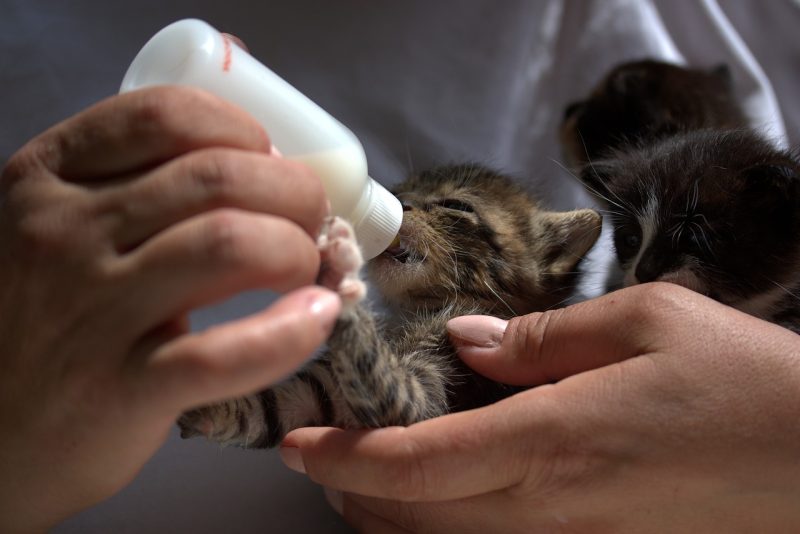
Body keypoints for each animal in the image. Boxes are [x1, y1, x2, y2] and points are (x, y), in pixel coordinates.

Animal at [177, 163, 600, 448]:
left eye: (455, 205)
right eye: (401, 191)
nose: (400, 203)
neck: (418, 310)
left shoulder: (424, 400)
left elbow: (389, 387)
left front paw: (340, 272)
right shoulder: (319, 394)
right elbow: (272, 407)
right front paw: (207, 408)